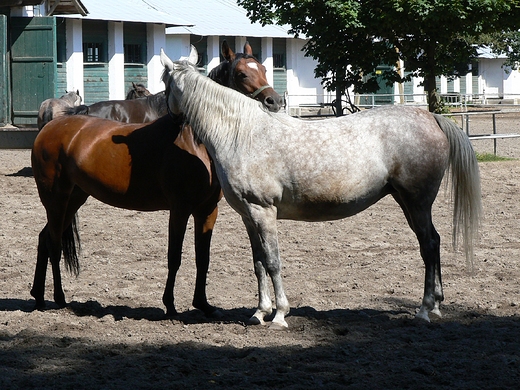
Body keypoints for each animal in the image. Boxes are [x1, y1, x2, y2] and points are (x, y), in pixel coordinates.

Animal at [160, 52, 482, 330]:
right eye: (242, 73)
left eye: (165, 83)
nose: (166, 117)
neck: (242, 133)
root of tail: (431, 118)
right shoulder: (249, 216)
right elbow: (259, 263)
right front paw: (259, 312)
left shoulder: (263, 212)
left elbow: (273, 262)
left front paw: (279, 315)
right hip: (407, 202)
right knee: (433, 242)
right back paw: (437, 305)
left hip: (417, 201)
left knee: (428, 244)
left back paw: (425, 309)